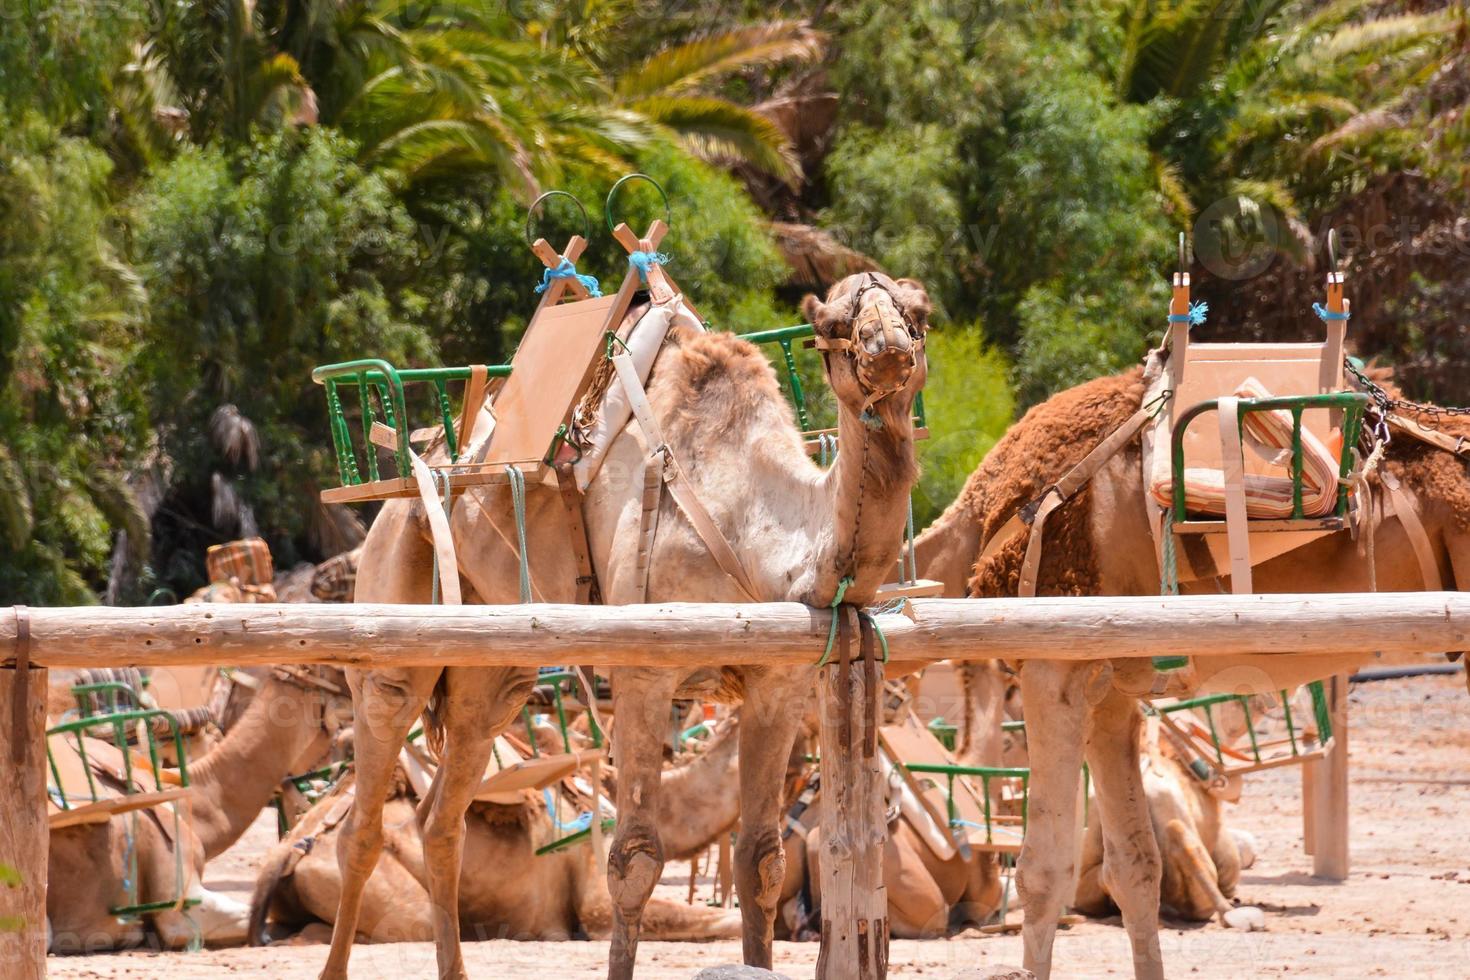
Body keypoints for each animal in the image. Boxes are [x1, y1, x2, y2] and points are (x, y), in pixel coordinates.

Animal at [324, 271, 929, 980]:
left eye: (918, 315)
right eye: (833, 325)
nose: (888, 351)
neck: (751, 521)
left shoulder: (779, 683)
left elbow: (761, 858)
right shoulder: (646, 671)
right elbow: (634, 860)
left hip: (493, 674)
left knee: (442, 817)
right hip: (395, 617)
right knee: (364, 818)